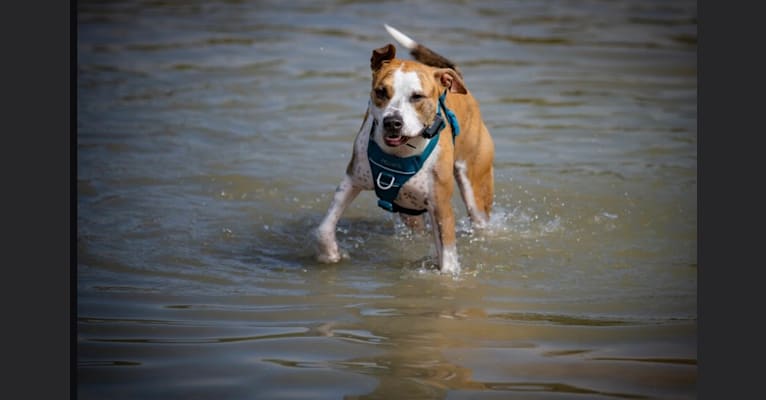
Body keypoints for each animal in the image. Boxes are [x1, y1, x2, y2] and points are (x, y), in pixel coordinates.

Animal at [314, 25, 498, 274]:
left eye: (417, 96)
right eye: (381, 91)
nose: (392, 122)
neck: (401, 152)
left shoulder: (441, 207)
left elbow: (448, 262)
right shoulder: (351, 180)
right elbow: (323, 229)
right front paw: (331, 254)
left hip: (476, 189)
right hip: (408, 208)